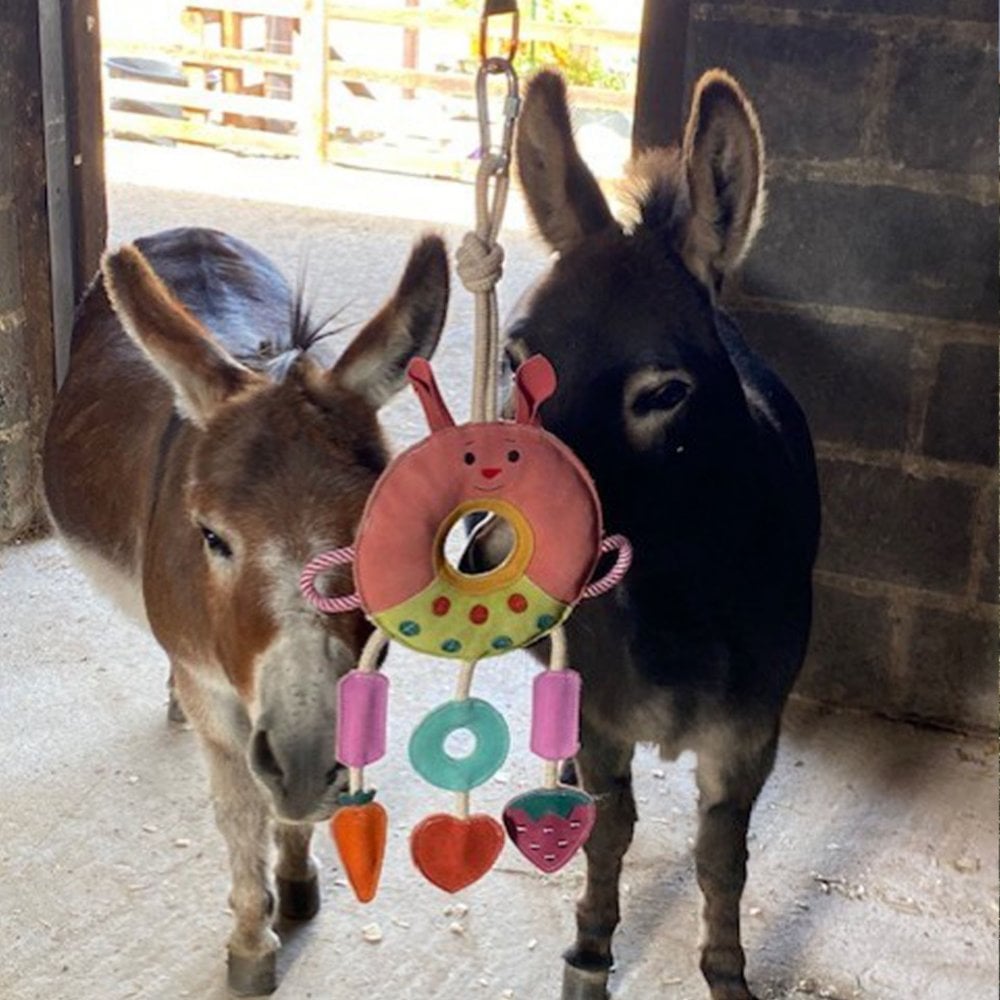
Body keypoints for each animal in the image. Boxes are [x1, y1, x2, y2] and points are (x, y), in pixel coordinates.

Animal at [42, 226, 449, 995]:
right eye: (211, 537)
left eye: (372, 532)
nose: (305, 757)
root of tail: (190, 232)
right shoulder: (215, 687)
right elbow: (238, 810)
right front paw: (252, 940)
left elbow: (289, 808)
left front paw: (294, 880)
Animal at [484, 69, 821, 1000]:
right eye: (514, 360)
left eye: (663, 394)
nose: (496, 556)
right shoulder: (604, 714)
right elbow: (608, 832)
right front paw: (592, 953)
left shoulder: (748, 735)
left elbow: (722, 859)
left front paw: (726, 973)